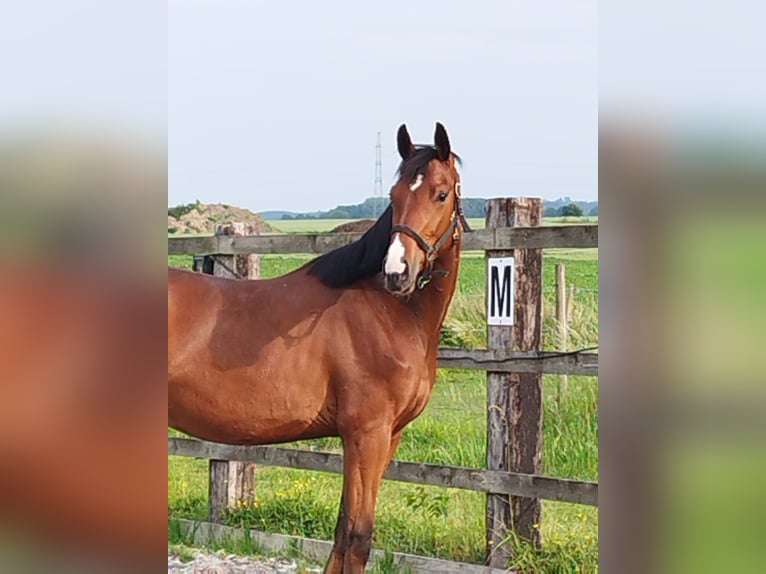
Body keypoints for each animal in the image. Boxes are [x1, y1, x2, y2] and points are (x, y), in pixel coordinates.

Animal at [168, 122, 470, 573]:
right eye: (395, 195)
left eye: (441, 192)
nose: (397, 272)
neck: (386, 310)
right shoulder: (366, 434)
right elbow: (358, 537)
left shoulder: (386, 437)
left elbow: (342, 533)